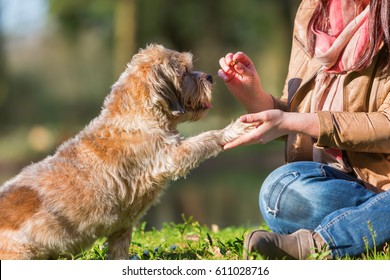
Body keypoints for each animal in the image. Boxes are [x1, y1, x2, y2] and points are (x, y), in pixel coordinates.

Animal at [0, 44, 253, 260]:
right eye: (185, 72)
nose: (209, 77)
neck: (139, 114)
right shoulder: (170, 156)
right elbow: (207, 137)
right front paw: (233, 130)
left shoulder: (121, 228)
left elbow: (119, 251)